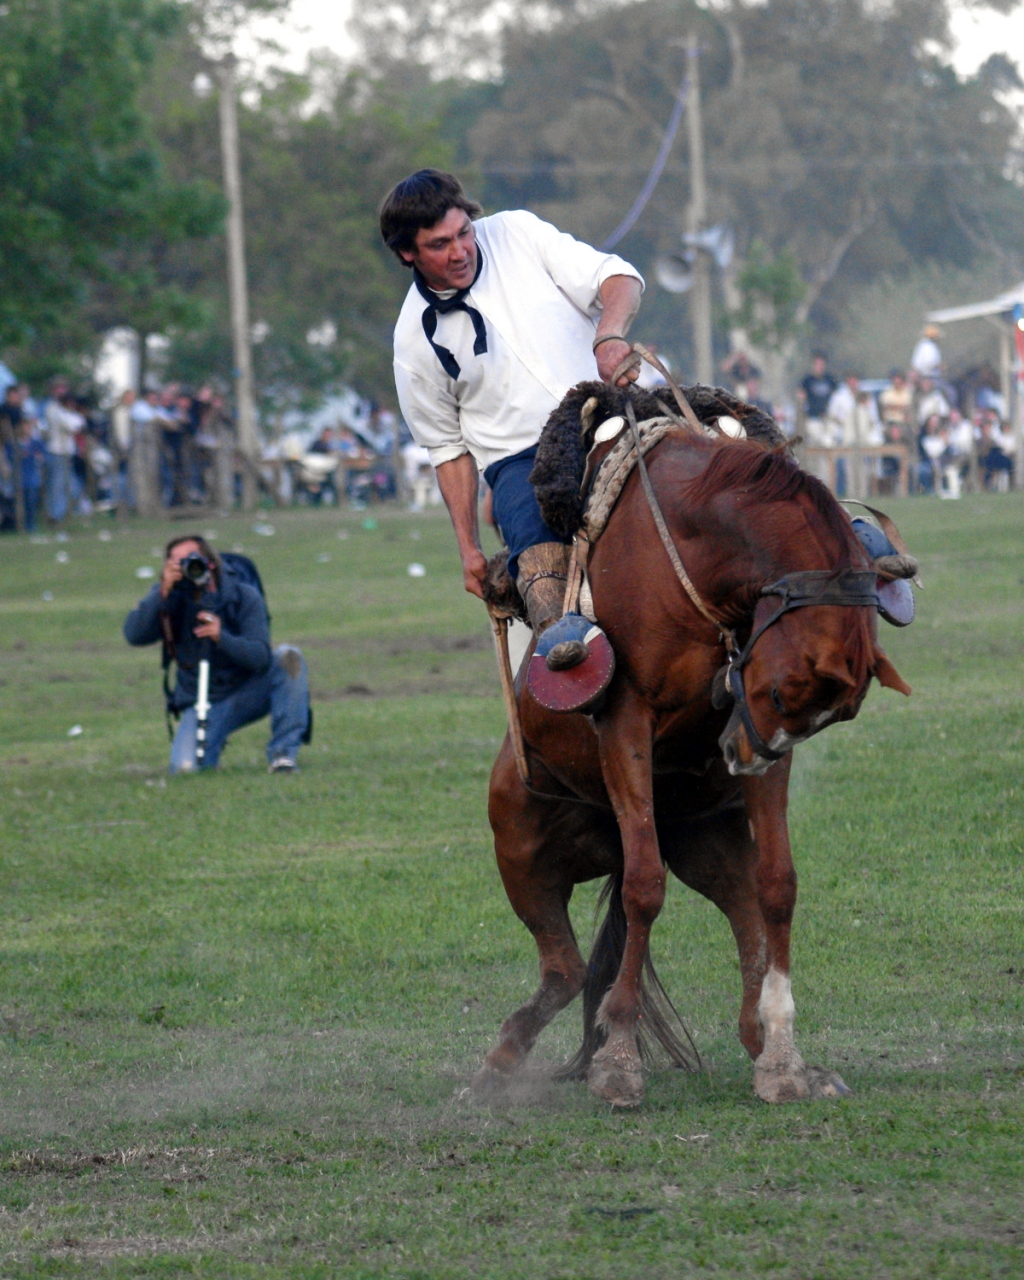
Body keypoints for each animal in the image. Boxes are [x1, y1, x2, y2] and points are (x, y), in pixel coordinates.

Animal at [475, 382, 912, 1107]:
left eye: (828, 718)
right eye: (782, 694)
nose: (739, 759)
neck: (696, 549)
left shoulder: (767, 747)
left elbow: (778, 885)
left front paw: (785, 1060)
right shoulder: (626, 720)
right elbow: (644, 890)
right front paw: (619, 1058)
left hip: (706, 844)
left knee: (736, 909)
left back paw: (759, 1041)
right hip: (520, 847)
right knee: (566, 965)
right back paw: (501, 1061)